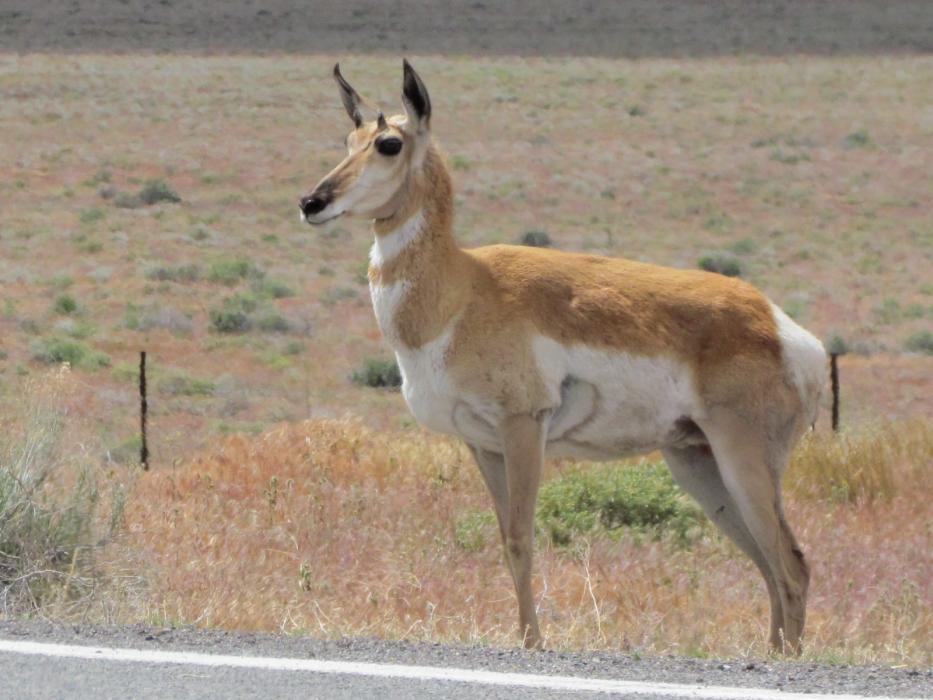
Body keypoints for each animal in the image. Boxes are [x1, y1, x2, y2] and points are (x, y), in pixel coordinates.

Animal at [299, 60, 826, 653]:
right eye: (348, 140)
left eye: (389, 143)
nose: (312, 202)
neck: (462, 289)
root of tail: (783, 329)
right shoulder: (483, 445)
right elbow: (505, 540)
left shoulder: (524, 427)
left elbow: (521, 540)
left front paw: (532, 643)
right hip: (697, 462)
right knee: (768, 563)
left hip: (743, 459)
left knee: (791, 564)